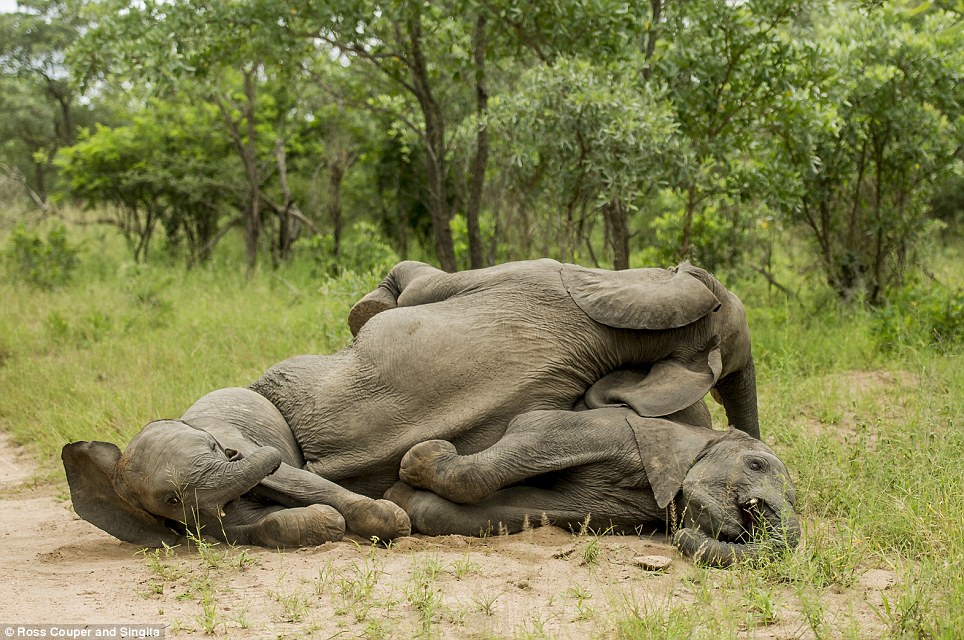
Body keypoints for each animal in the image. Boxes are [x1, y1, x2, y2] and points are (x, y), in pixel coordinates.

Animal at [386, 402, 800, 568]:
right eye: (756, 464)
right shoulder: (597, 430)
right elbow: (510, 455)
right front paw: (417, 463)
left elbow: (511, 511)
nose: (683, 536)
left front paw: (404, 498)